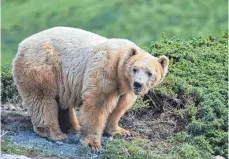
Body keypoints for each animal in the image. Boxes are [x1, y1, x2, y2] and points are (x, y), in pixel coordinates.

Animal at [13, 26, 169, 151]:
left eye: (150, 73)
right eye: (135, 69)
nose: (137, 84)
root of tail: (22, 44)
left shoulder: (125, 88)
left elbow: (120, 105)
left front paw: (120, 131)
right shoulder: (105, 69)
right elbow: (97, 103)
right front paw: (93, 144)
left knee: (62, 101)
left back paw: (72, 127)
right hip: (43, 65)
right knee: (42, 98)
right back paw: (55, 133)